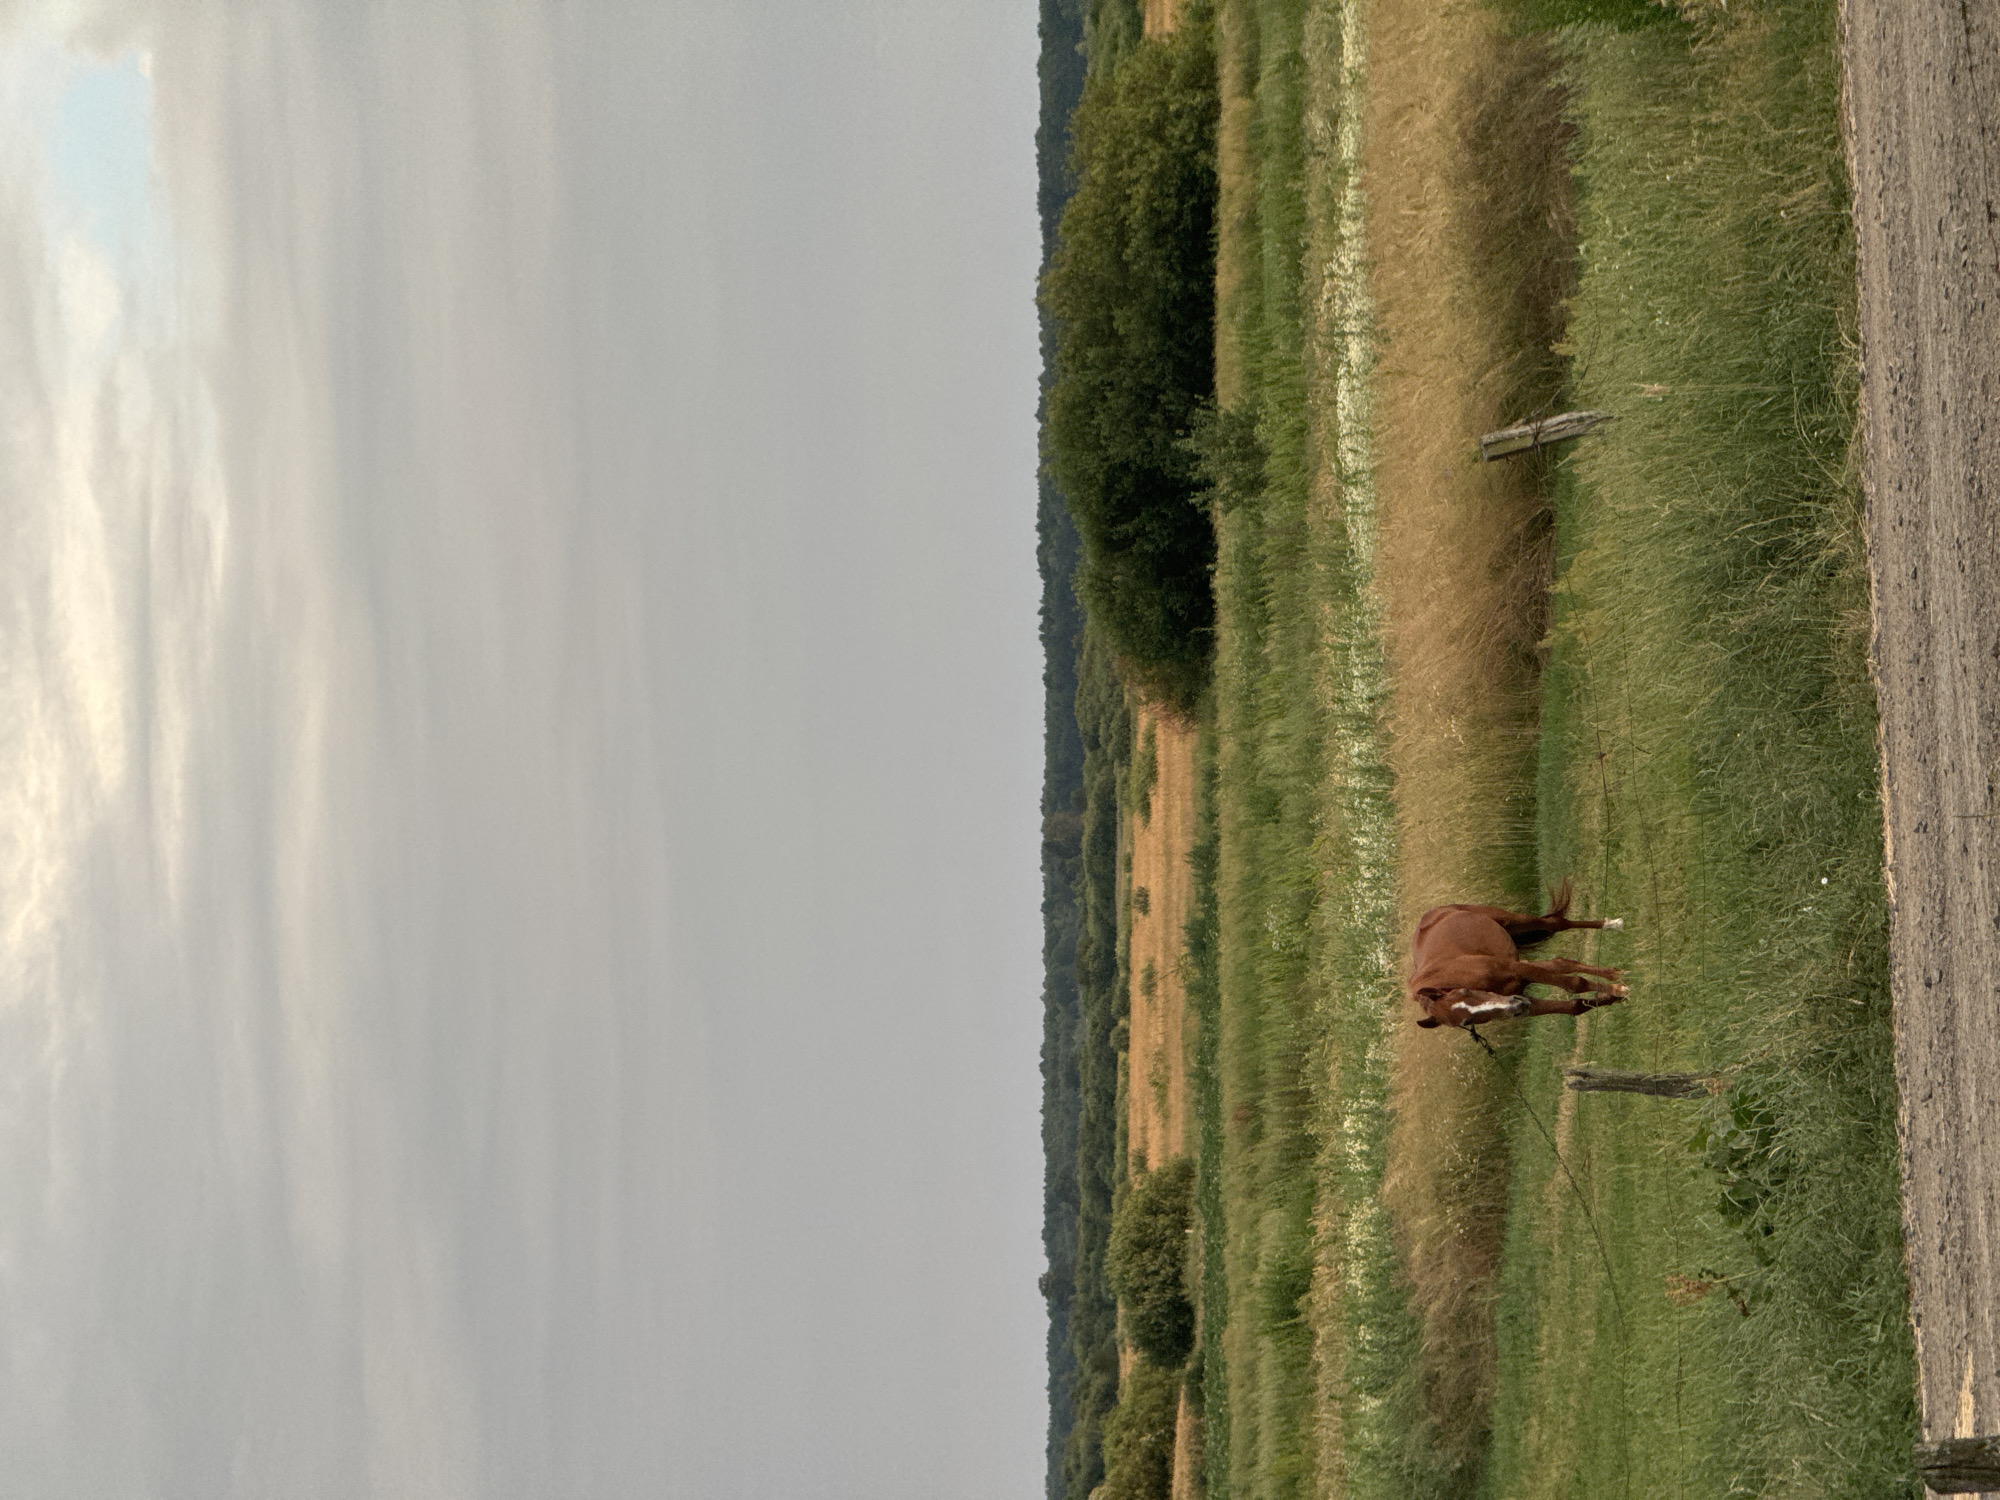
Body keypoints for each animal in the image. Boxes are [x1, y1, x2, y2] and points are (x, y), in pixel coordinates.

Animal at [1408, 878, 1627, 1031]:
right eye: (1466, 1020)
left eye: (1465, 992)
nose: (1515, 1005)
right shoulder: (1524, 998)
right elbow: (1575, 1005)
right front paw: (1611, 996)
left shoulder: (1517, 970)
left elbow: (1574, 984)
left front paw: (1618, 990)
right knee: (1561, 963)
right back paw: (1613, 973)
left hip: (1516, 922)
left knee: (1556, 924)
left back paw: (1611, 925)